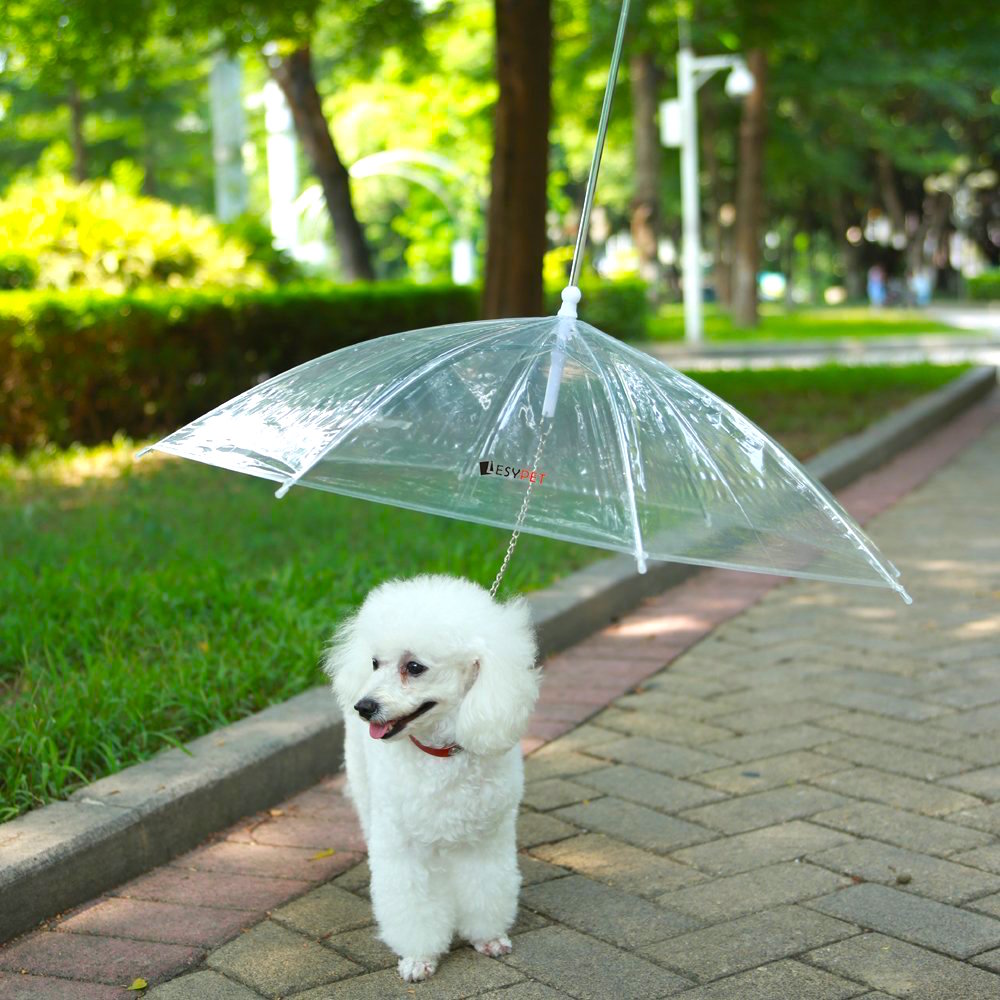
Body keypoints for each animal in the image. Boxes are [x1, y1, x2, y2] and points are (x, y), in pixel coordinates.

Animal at [324, 576, 540, 980]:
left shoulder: (486, 839)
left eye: (414, 666)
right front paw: (418, 958)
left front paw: (488, 938)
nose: (364, 707)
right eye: (375, 663)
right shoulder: (403, 845)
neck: (440, 754)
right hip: (365, 788)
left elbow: (487, 887)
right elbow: (411, 904)